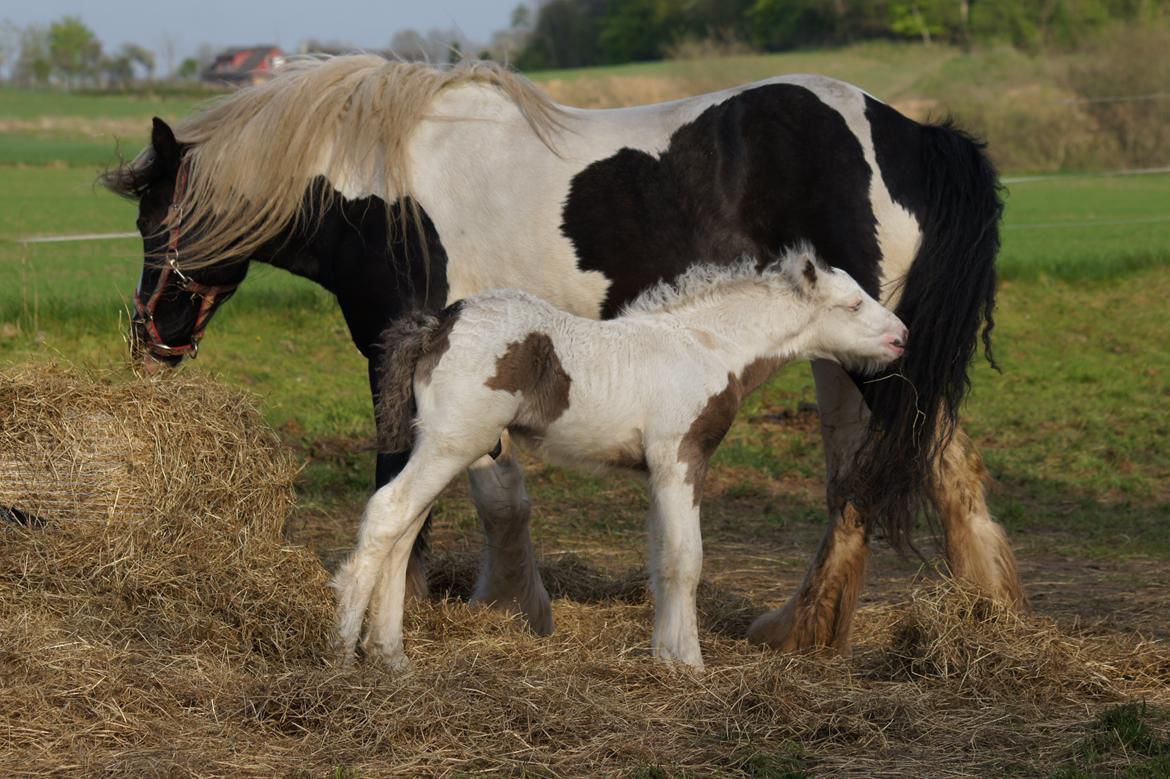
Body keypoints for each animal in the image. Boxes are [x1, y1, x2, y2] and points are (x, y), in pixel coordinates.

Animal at [334, 250, 907, 669]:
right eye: (853, 306)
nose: (902, 337)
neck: (707, 348)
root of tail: (436, 325)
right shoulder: (681, 459)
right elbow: (685, 559)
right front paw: (688, 664)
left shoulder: (659, 471)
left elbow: (661, 557)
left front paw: (665, 654)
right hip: (452, 442)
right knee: (388, 513)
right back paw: (341, 652)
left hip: (439, 445)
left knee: (404, 528)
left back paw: (390, 657)